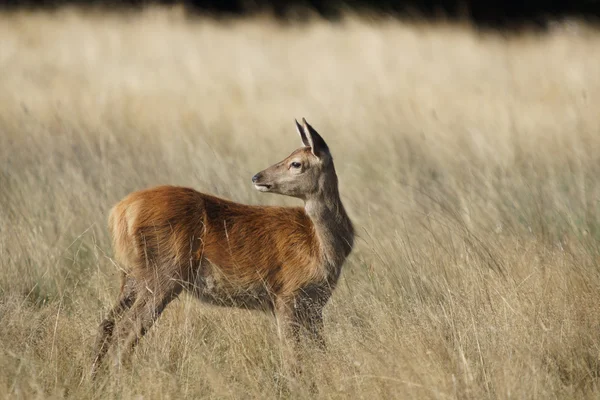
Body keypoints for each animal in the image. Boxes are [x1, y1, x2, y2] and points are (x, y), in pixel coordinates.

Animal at [91, 117, 354, 376]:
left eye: (296, 163)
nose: (257, 177)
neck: (322, 248)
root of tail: (120, 212)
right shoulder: (286, 294)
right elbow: (293, 361)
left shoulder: (315, 306)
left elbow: (321, 352)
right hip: (163, 274)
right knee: (126, 331)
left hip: (132, 275)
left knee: (107, 324)